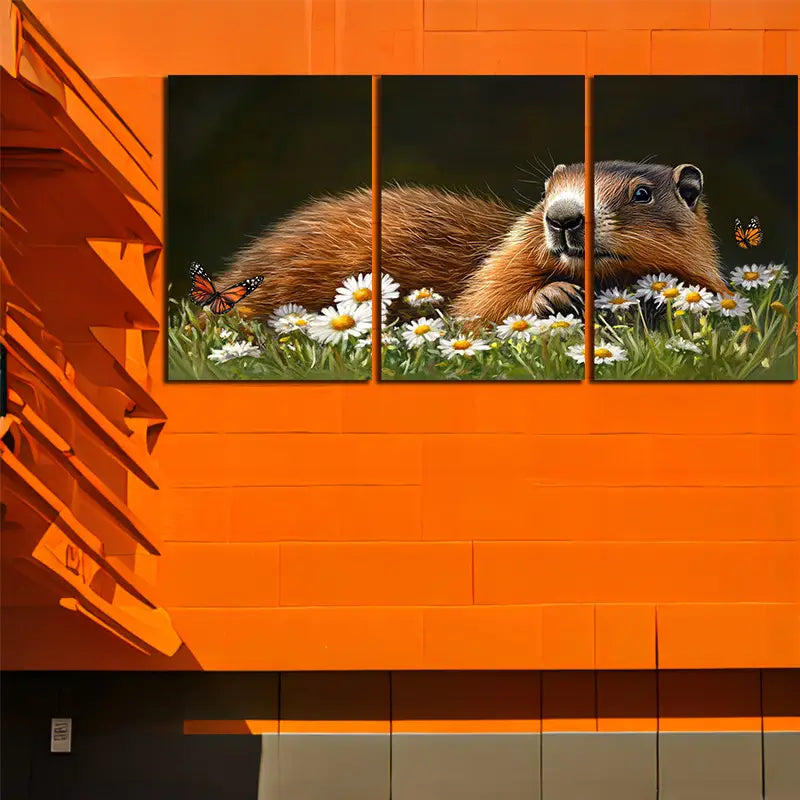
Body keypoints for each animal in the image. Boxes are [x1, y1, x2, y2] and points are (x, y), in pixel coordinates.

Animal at [215, 161, 728, 323]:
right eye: (547, 189)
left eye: (641, 193)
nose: (563, 217)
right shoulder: (504, 257)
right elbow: (479, 304)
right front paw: (555, 294)